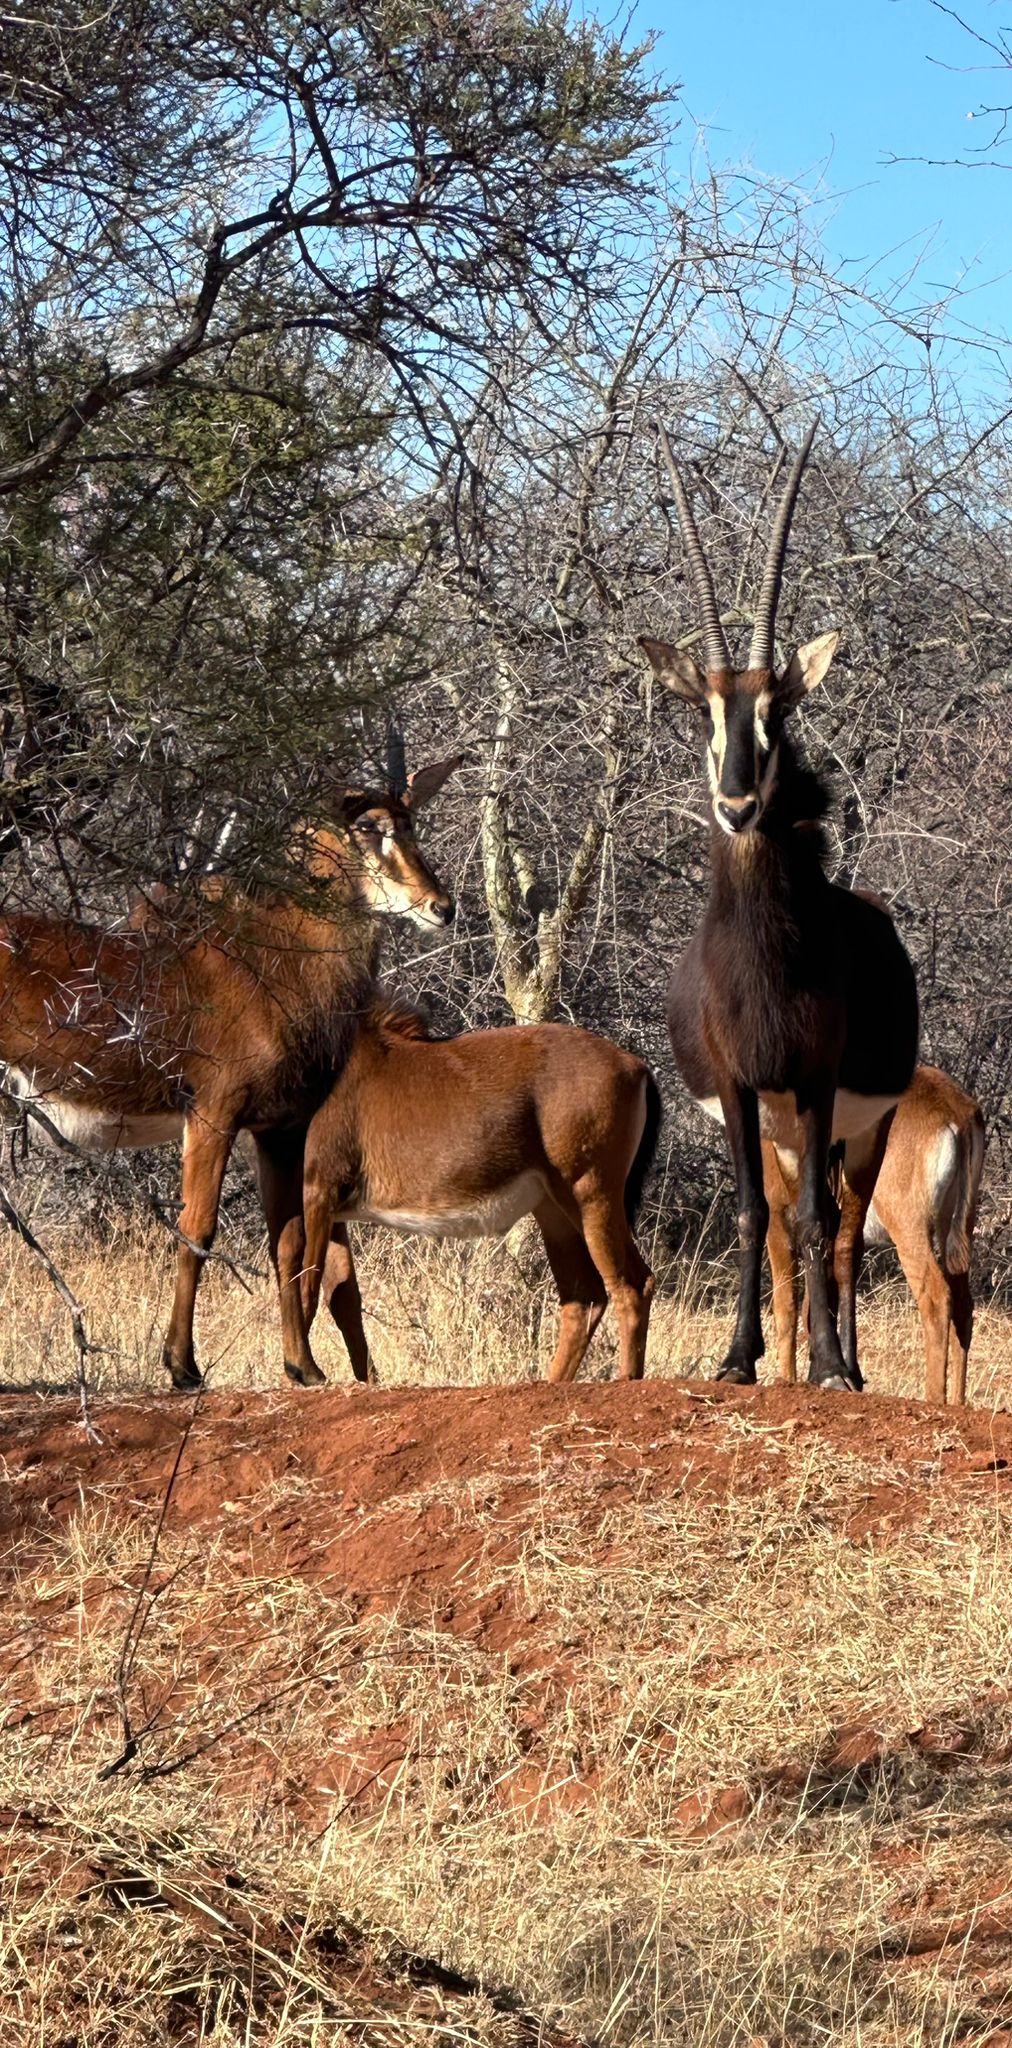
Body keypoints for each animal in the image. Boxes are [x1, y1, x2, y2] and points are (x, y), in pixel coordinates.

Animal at [1, 753, 462, 1388]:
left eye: (412, 823)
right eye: (367, 828)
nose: (442, 907)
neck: (279, 959)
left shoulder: (282, 1128)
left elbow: (290, 1245)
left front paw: (303, 1366)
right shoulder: (213, 1111)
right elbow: (197, 1229)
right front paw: (182, 1365)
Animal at [268, 1002, 660, 1387]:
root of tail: (636, 1066)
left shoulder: (318, 1191)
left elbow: (305, 1286)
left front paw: (301, 1374)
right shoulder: (332, 1210)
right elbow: (338, 1292)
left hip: (591, 1193)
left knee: (632, 1285)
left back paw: (627, 1380)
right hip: (555, 1211)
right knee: (585, 1298)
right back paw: (553, 1383)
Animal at [640, 422, 918, 1392]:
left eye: (776, 713)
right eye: (706, 715)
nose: (735, 805)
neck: (765, 954)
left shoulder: (816, 1079)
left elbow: (812, 1224)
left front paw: (831, 1366)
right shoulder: (738, 1086)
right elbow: (754, 1216)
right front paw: (737, 1360)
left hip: (860, 1127)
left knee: (842, 1230)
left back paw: (852, 1367)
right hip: (785, 1127)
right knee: (801, 1221)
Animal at [764, 1065, 985, 1404]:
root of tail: (956, 1107)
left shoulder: (779, 1219)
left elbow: (786, 1306)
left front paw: (787, 1380)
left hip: (908, 1226)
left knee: (936, 1297)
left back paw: (933, 1398)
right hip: (956, 1228)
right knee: (963, 1306)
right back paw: (957, 1403)